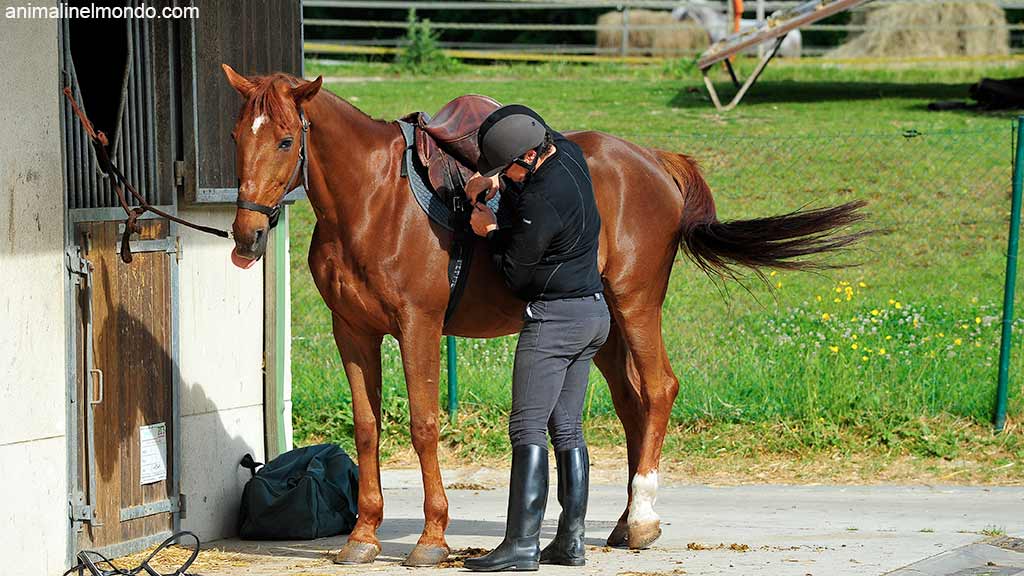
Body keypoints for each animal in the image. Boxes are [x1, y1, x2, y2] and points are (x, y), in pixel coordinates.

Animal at [220, 65, 867, 566]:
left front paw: (431, 538)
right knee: (633, 404)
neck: (375, 200)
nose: (247, 237)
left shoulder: (418, 326)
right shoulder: (351, 333)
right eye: (234, 137)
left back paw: (643, 518)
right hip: (607, 328)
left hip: (636, 305)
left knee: (659, 389)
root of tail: (654, 160)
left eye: (285, 140)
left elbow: (423, 426)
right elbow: (367, 428)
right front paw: (361, 537)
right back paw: (623, 524)